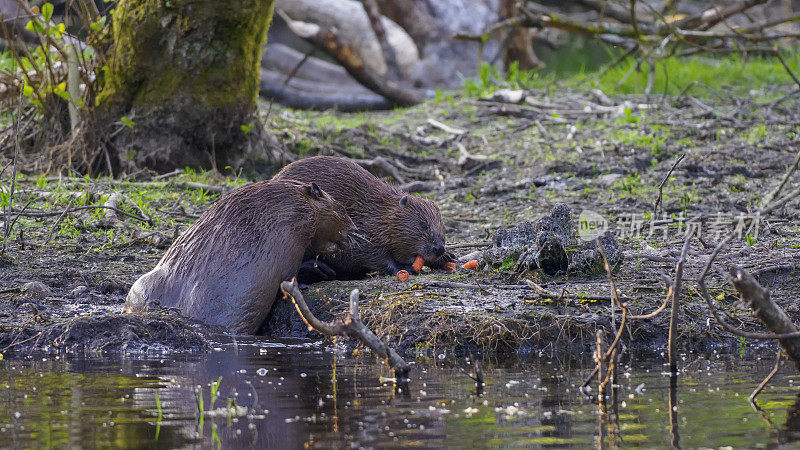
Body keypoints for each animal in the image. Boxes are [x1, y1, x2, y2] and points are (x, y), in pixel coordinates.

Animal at [124, 180, 354, 334]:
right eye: (342, 208)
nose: (354, 228)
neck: (294, 204)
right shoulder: (291, 238)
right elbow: (290, 274)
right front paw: (316, 274)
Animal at [274, 156, 450, 280]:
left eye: (443, 227)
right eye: (423, 225)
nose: (439, 248)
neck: (377, 211)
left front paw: (447, 257)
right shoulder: (358, 227)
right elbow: (369, 252)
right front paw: (402, 269)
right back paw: (318, 268)